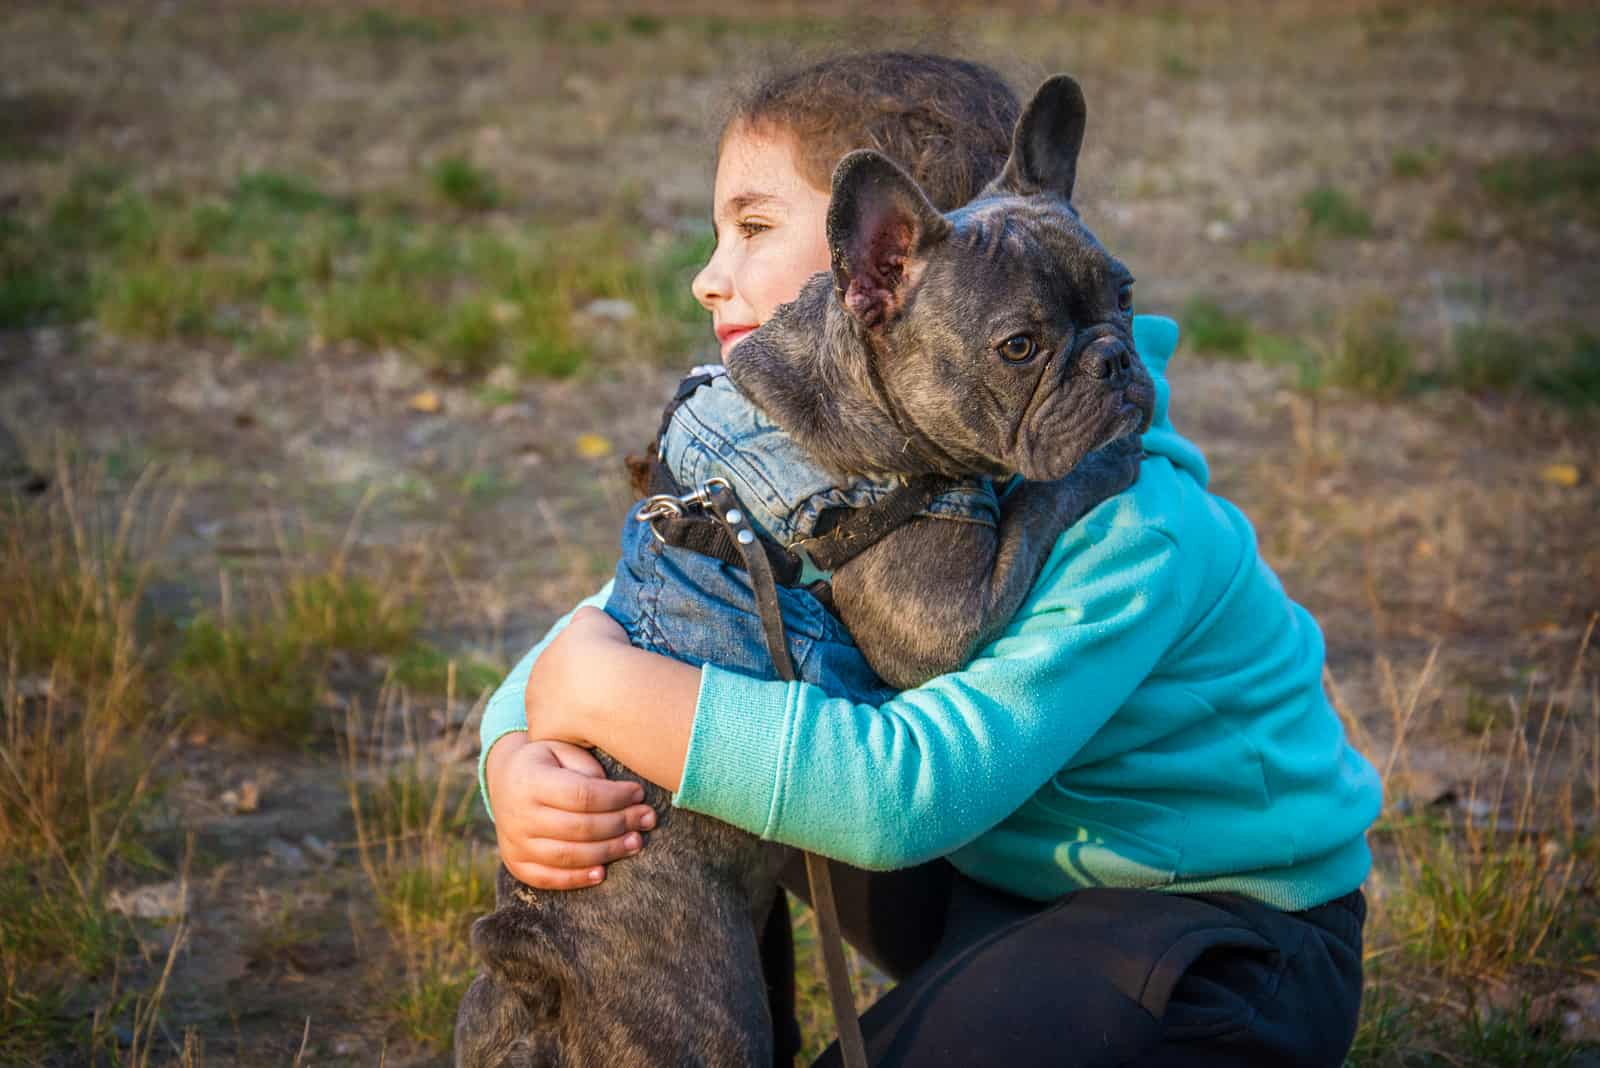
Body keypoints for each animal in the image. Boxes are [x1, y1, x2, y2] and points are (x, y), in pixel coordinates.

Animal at [457, 77, 1158, 1068]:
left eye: (1125, 296)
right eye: (1019, 347)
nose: (1115, 358)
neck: (848, 394)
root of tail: (529, 960)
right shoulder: (936, 617)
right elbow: (1035, 502)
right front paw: (1105, 462)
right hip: (709, 1019)